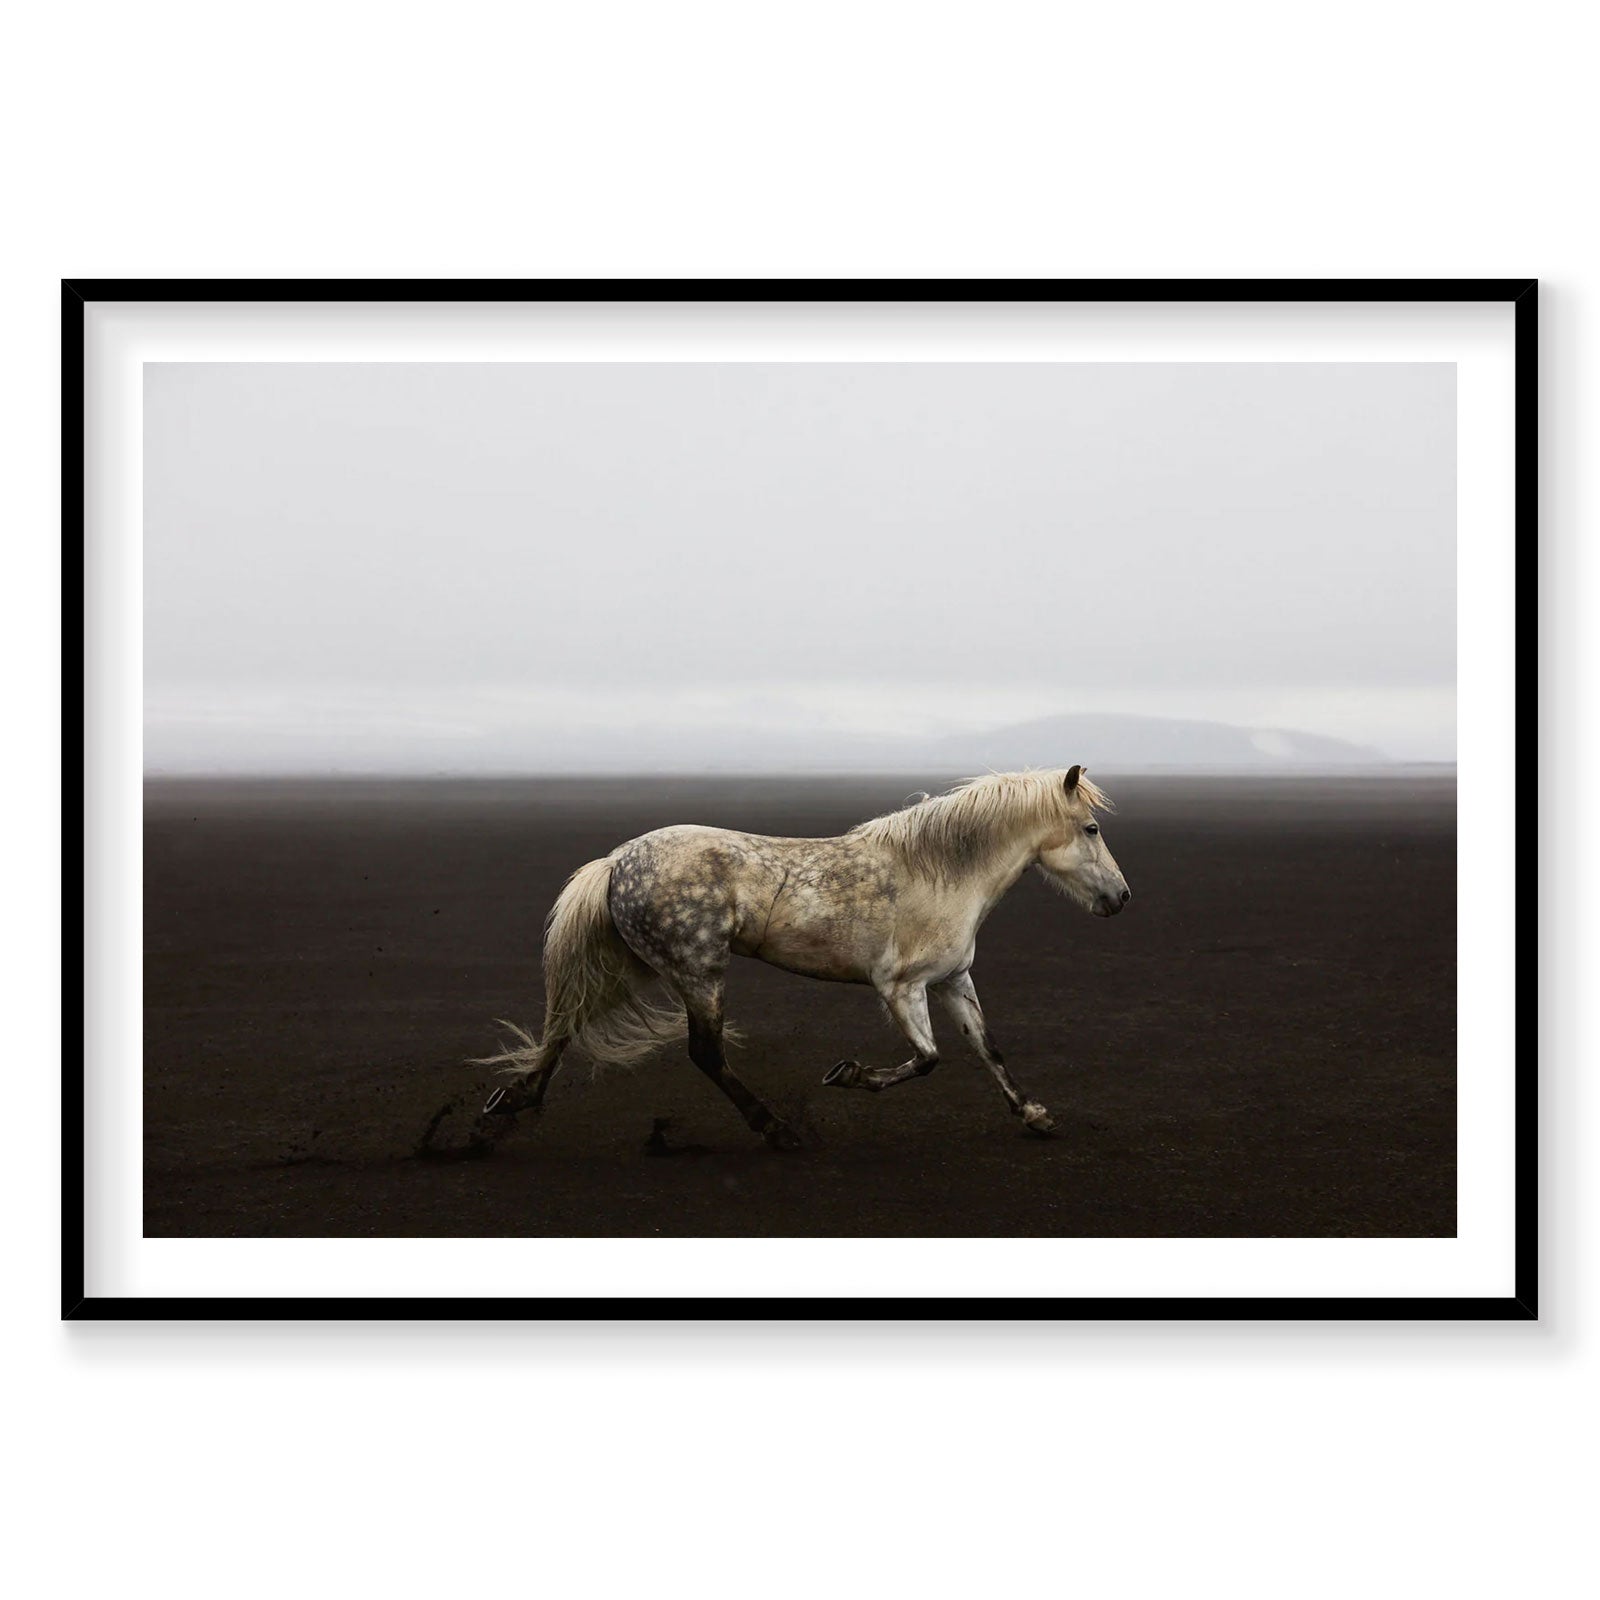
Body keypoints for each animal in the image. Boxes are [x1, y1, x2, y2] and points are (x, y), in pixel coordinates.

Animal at [476, 765, 1130, 1149]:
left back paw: (511, 1103)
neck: (942, 874)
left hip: (637, 966)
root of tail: (616, 862)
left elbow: (987, 1050)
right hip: (699, 971)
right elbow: (927, 1060)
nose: (1121, 898)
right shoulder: (901, 987)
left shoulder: (952, 980)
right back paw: (776, 1128)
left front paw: (1036, 1115)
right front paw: (848, 1075)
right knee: (704, 1052)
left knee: (566, 1023)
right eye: (1092, 829)